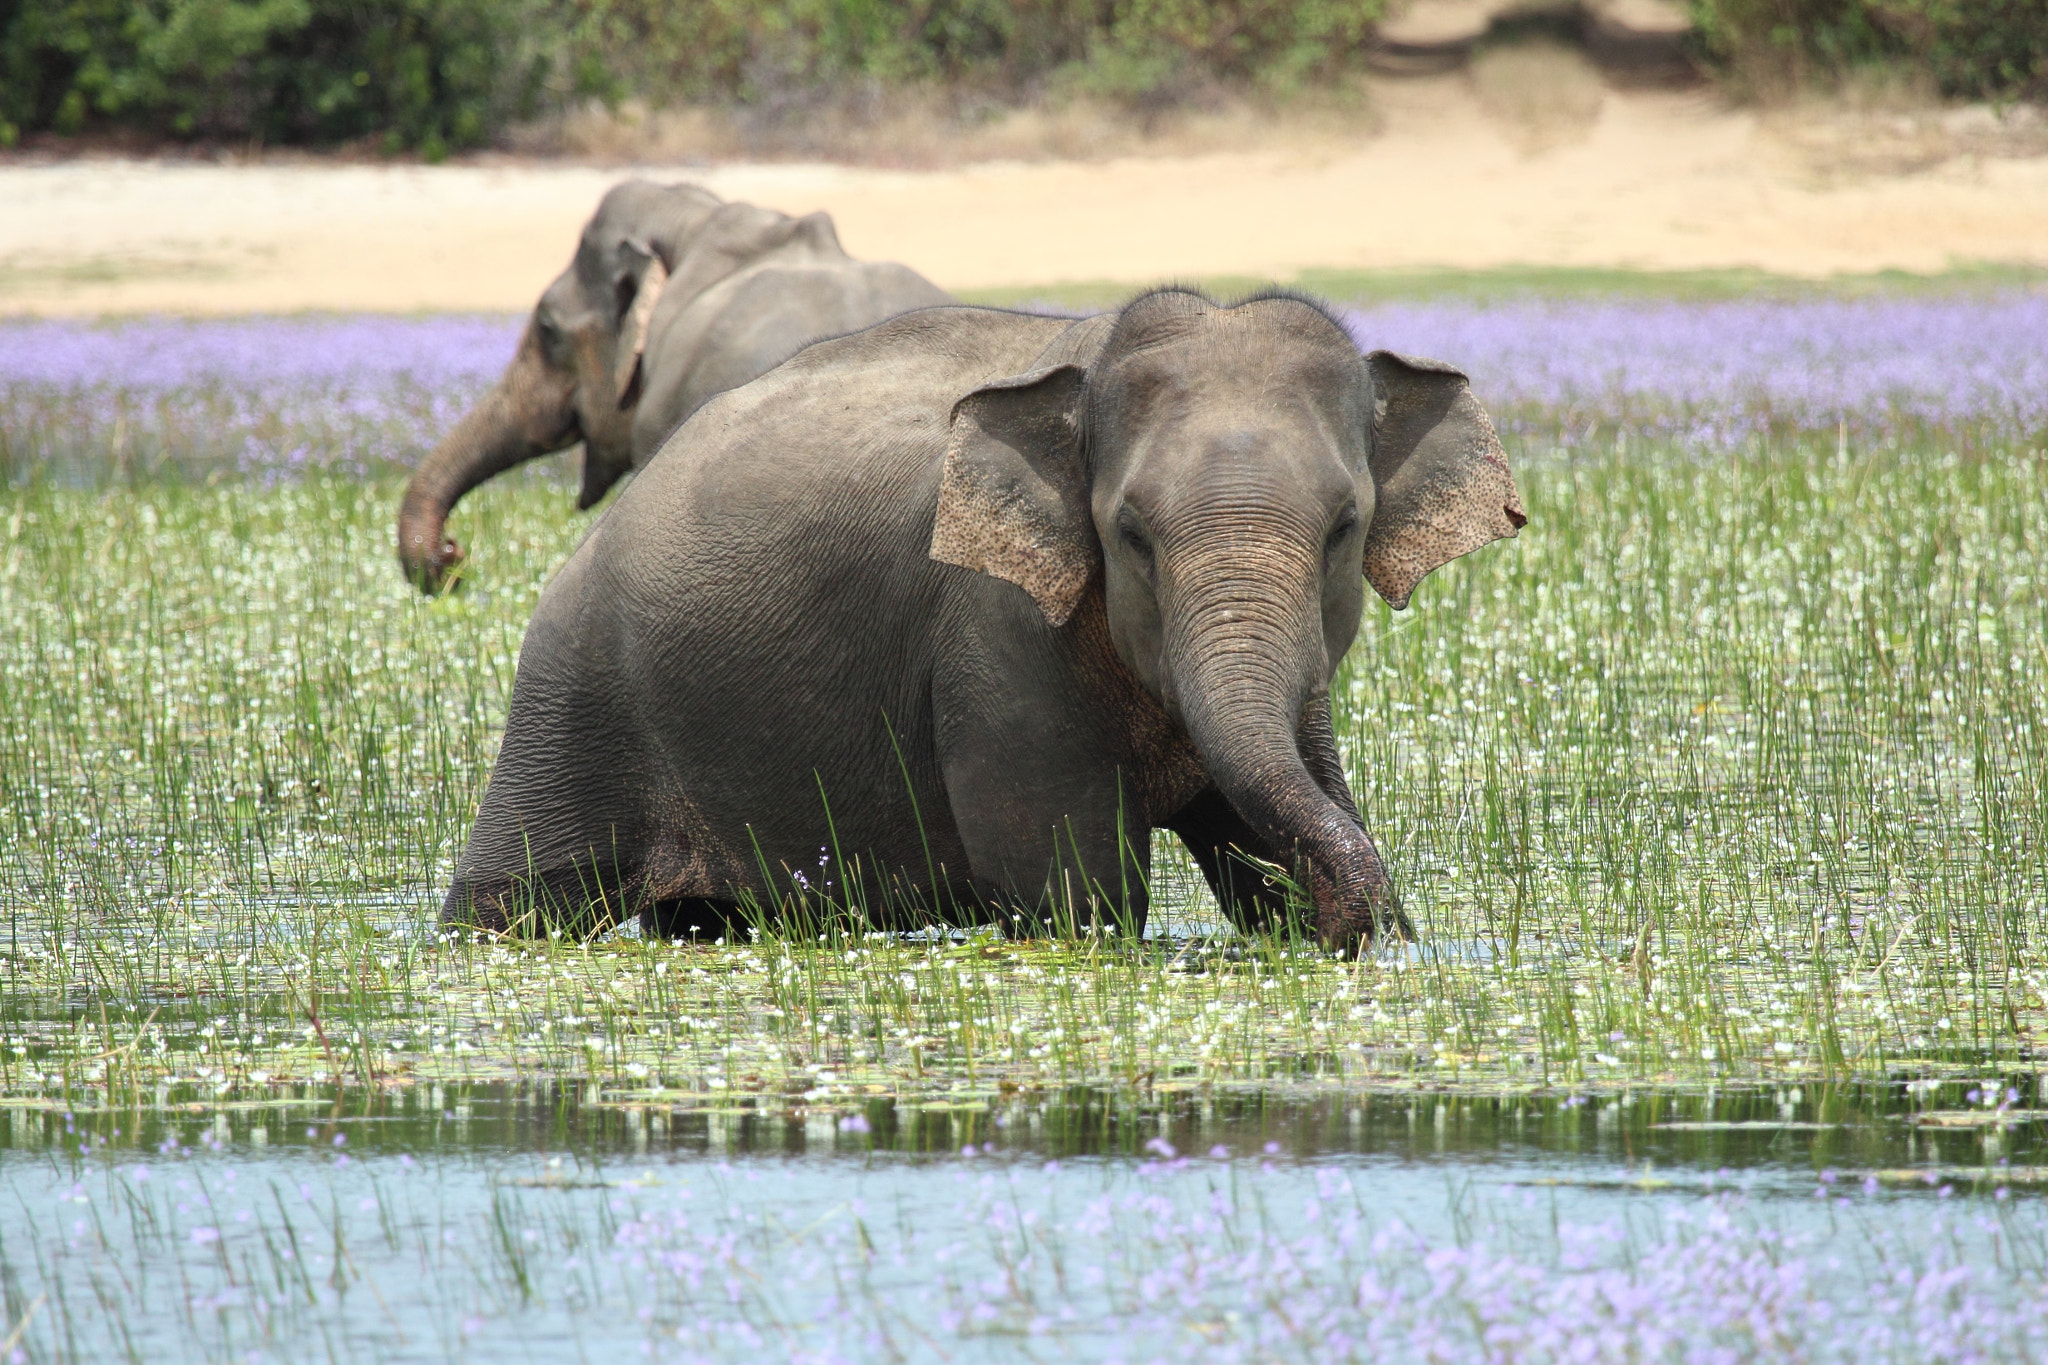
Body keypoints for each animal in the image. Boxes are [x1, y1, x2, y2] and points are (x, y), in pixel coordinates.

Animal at [442, 288, 1525, 953]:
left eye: (1343, 528)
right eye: (1130, 534)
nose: (1319, 898)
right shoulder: (995, 629)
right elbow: (1074, 898)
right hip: (571, 699)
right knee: (517, 899)